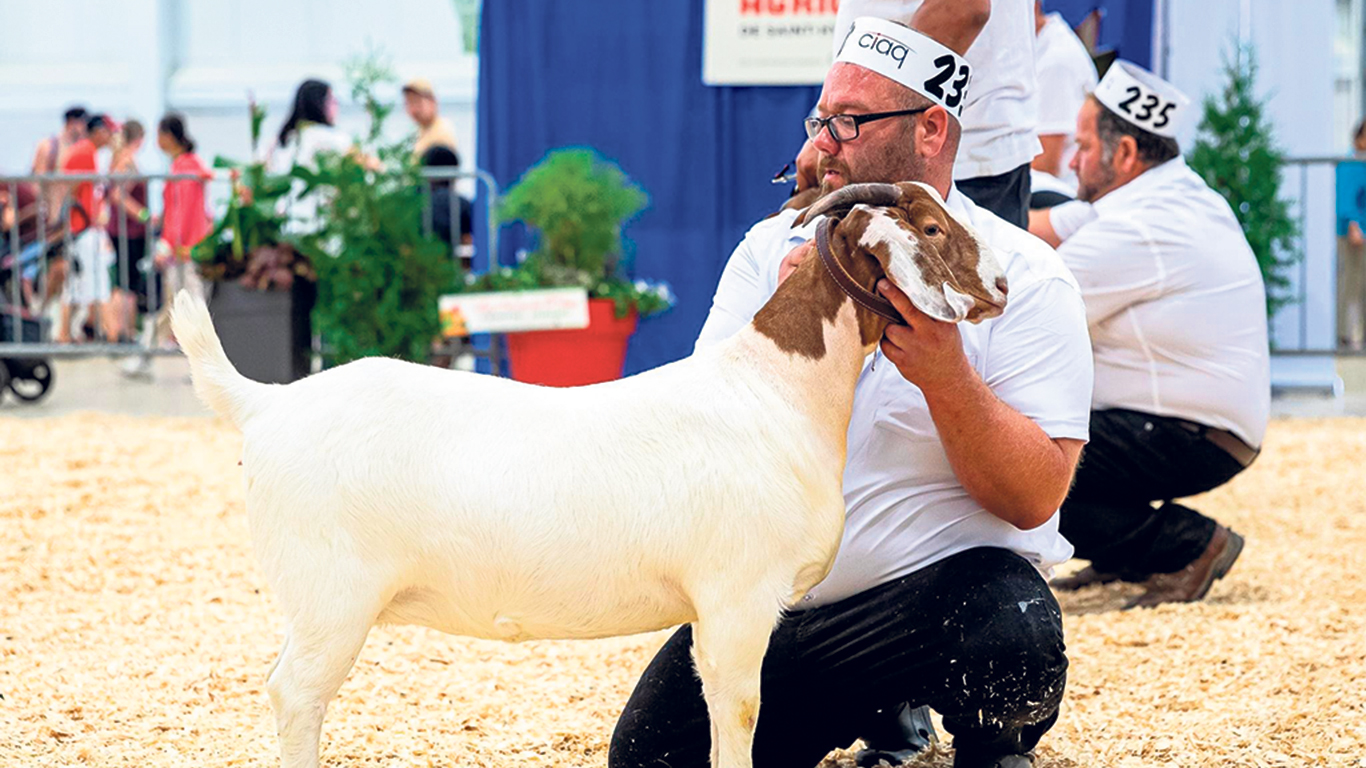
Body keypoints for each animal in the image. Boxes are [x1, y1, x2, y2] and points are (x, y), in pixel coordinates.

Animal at [168, 180, 1005, 765]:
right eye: (933, 228)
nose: (1001, 287)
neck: (773, 388)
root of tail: (268, 402)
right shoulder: (737, 602)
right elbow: (738, 720)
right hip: (331, 599)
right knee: (294, 695)